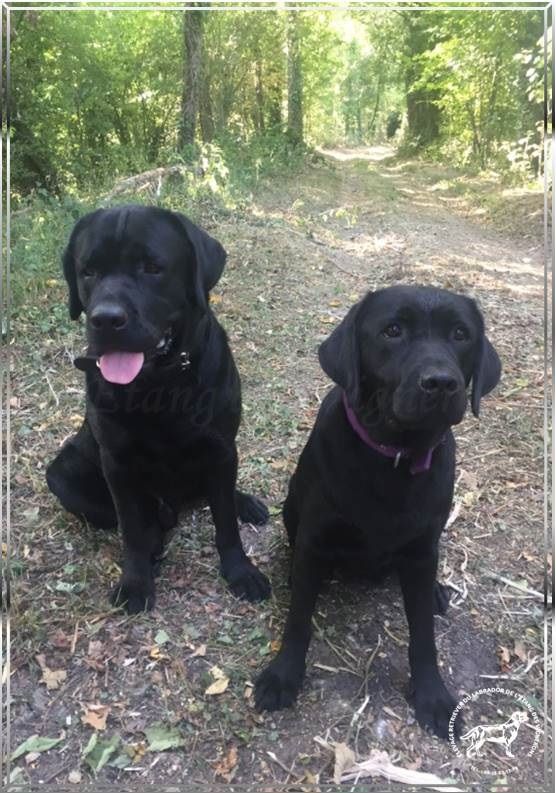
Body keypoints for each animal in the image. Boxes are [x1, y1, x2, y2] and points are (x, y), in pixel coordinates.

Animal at [47, 204, 272, 612]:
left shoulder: (221, 447)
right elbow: (132, 528)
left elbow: (225, 523)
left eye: (152, 267)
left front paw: (240, 571)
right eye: (89, 271)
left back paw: (243, 502)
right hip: (61, 473)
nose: (106, 319)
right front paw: (136, 582)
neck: (160, 386)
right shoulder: (117, 464)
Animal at [254, 284, 502, 736]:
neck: (394, 458)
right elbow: (298, 617)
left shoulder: (421, 551)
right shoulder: (314, 540)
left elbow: (423, 634)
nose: (441, 383)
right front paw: (283, 675)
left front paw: (433, 695)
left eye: (460, 334)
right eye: (392, 331)